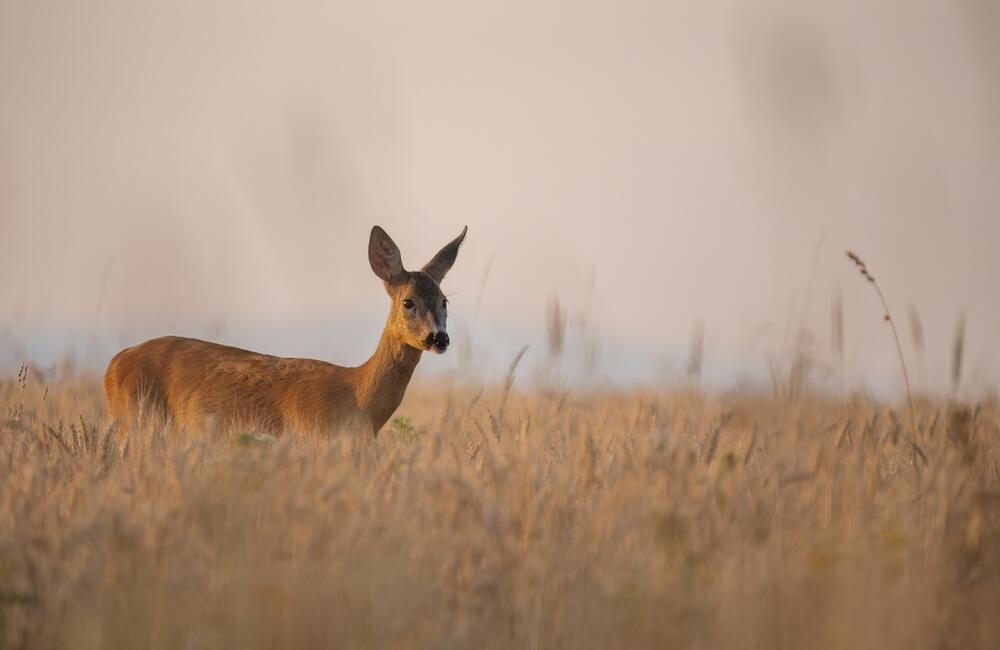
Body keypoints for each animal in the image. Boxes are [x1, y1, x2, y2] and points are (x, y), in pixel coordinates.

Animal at [103, 225, 470, 438]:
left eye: (444, 300)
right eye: (408, 301)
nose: (438, 337)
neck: (358, 401)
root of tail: (114, 364)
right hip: (137, 422)